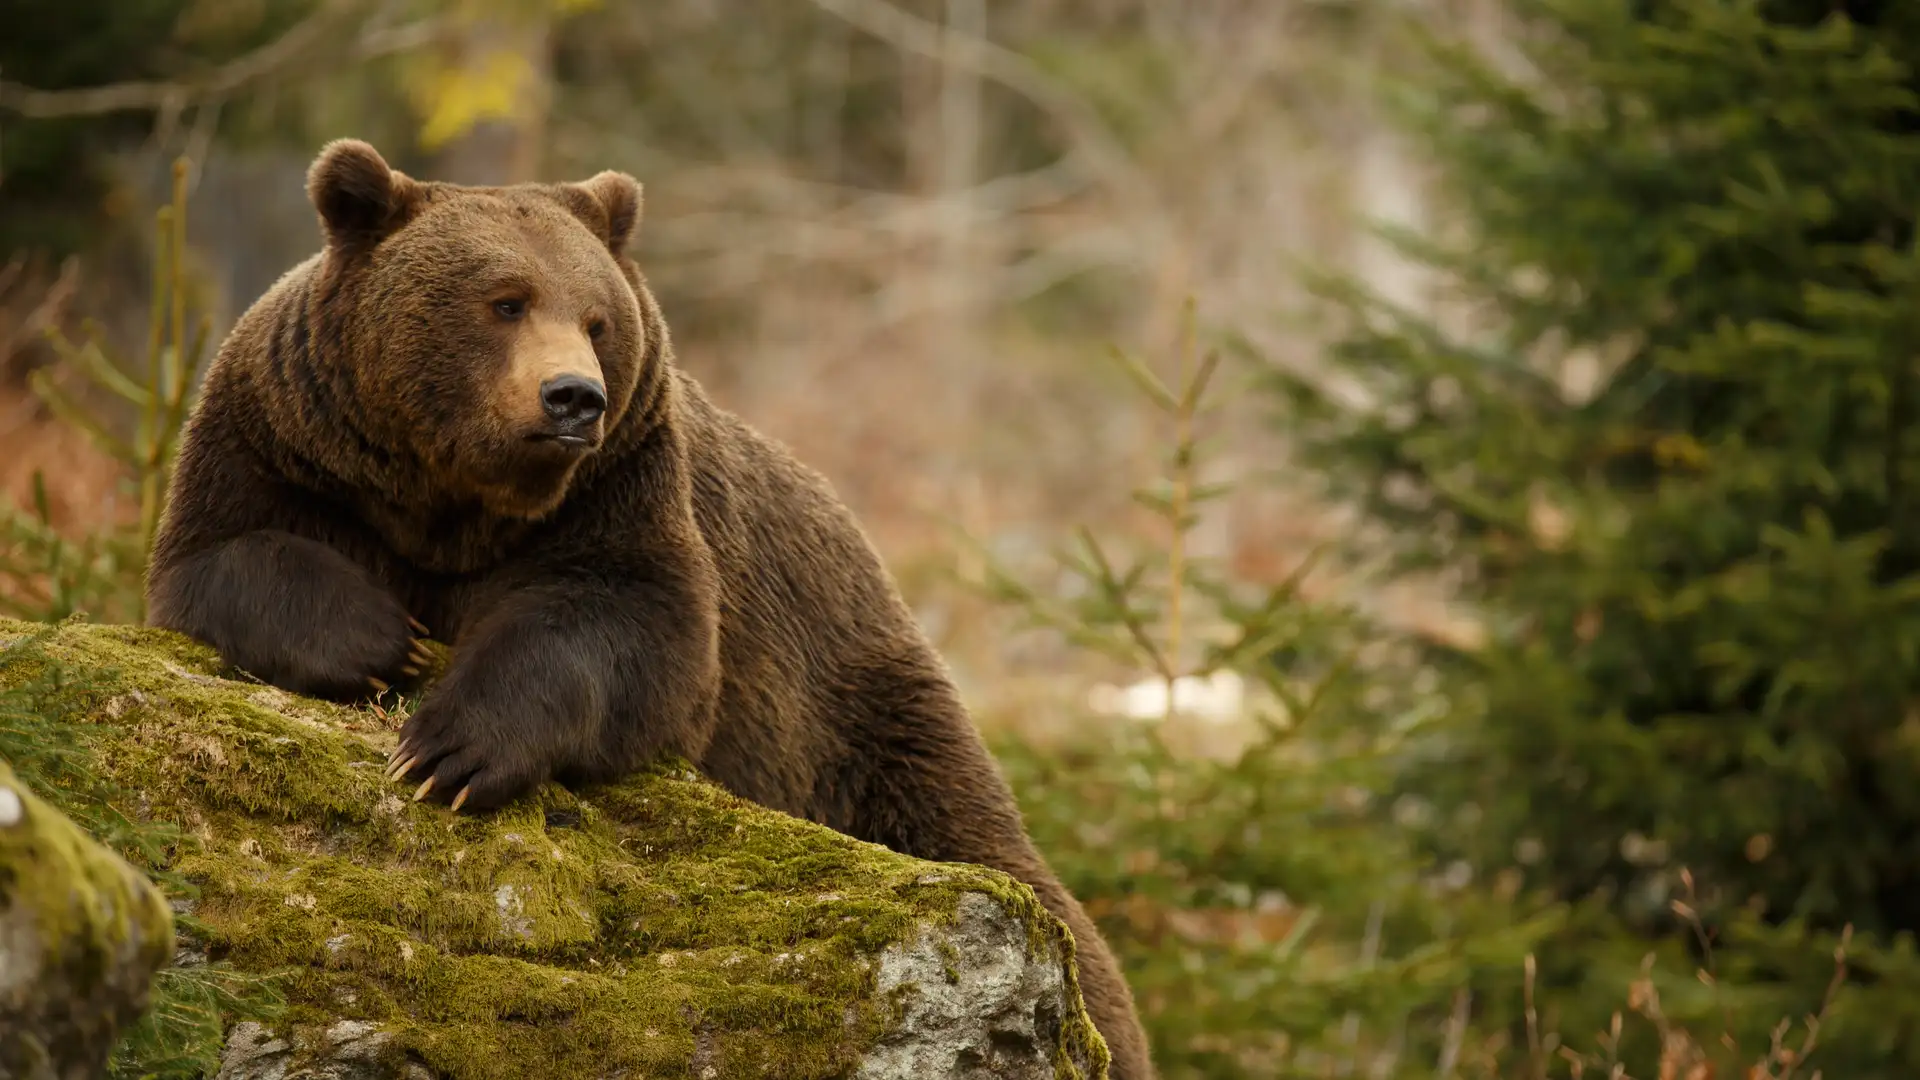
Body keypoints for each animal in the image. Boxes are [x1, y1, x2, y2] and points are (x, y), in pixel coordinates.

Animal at [145, 138, 1154, 1077]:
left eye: (596, 319)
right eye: (505, 300)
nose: (572, 398)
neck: (455, 503)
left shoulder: (622, 489)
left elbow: (629, 633)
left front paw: (449, 750)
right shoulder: (287, 442)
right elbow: (223, 557)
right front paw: (385, 639)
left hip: (858, 714)